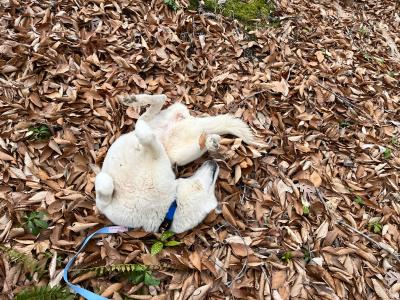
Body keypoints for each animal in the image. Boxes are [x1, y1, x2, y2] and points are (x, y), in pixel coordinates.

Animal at [94, 95, 256, 233]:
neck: (169, 204)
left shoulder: (105, 205)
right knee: (159, 103)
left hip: (176, 155)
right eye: (205, 186)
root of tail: (193, 125)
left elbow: (147, 138)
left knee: (151, 114)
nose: (214, 165)